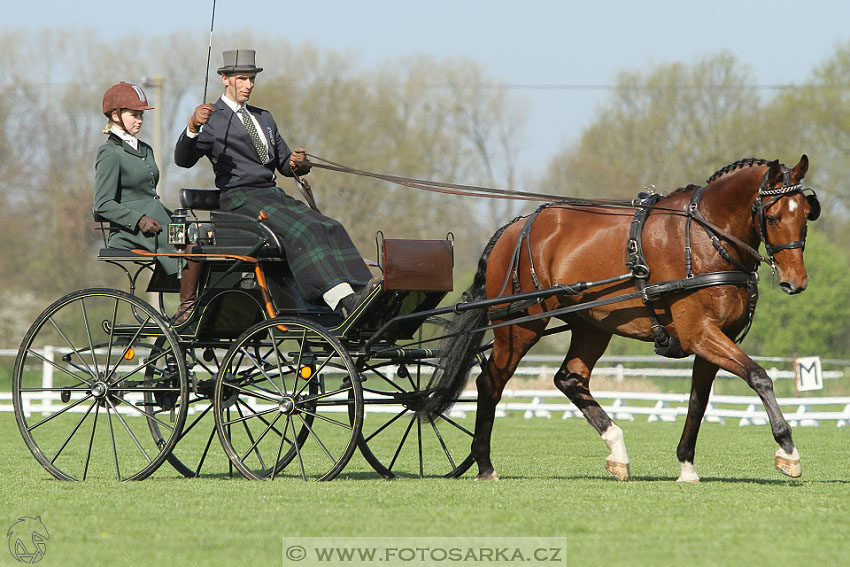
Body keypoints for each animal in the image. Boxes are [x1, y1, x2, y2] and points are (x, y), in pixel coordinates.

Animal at [420, 156, 820, 484]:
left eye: (805, 214)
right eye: (772, 216)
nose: (796, 282)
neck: (704, 237)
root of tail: (515, 227)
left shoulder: (716, 338)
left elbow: (698, 401)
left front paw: (686, 466)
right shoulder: (699, 333)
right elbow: (759, 376)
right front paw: (788, 450)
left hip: (590, 326)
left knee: (569, 378)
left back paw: (617, 451)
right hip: (520, 324)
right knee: (490, 382)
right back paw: (485, 464)